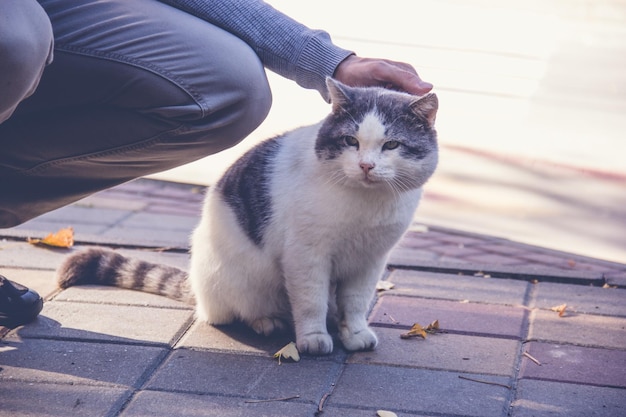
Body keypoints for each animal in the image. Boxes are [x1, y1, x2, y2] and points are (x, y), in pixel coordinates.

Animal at [57, 79, 438, 354]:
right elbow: (310, 301)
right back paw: (266, 321)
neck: (365, 205)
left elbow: (356, 302)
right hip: (238, 278)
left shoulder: (371, 259)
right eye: (350, 141)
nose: (366, 166)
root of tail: (196, 284)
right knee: (230, 312)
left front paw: (354, 333)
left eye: (391, 145)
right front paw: (313, 338)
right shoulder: (306, 255)